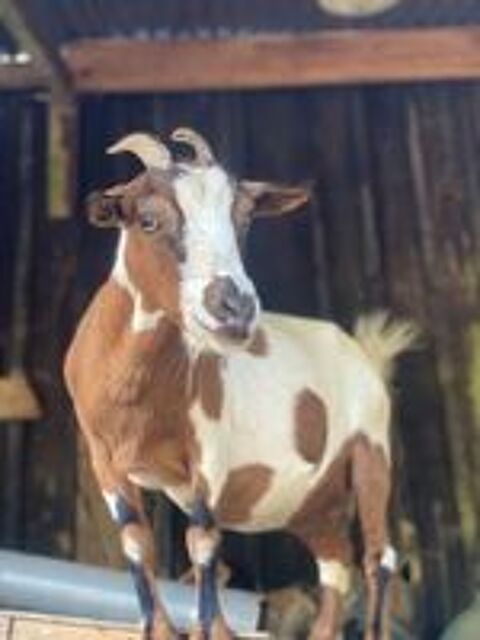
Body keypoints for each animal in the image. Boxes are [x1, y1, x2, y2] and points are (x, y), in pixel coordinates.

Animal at [64, 128, 416, 640]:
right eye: (147, 219)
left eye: (244, 219)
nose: (235, 308)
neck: (134, 394)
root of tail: (364, 352)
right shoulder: (104, 460)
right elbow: (136, 541)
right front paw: (161, 628)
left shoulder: (208, 453)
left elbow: (203, 541)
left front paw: (208, 629)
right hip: (315, 501)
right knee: (335, 566)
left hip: (372, 450)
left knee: (378, 557)